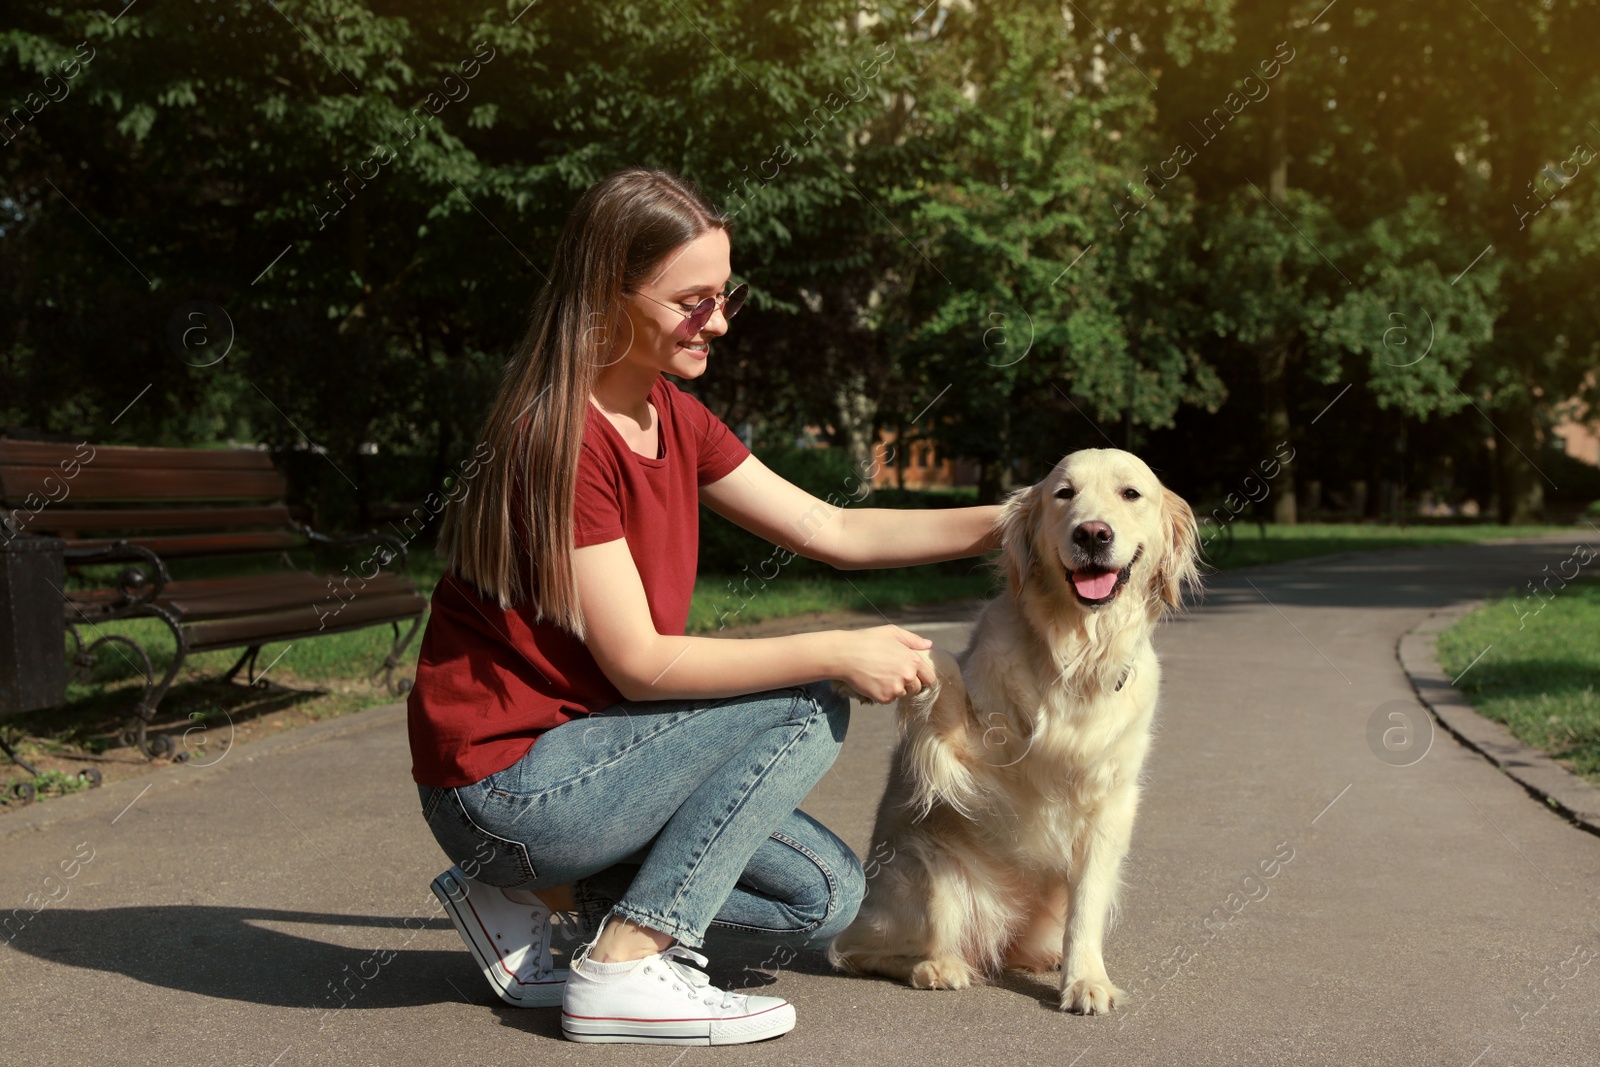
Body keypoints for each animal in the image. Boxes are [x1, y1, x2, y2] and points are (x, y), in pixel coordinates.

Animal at [832, 447, 1196, 1017]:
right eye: (1064, 493)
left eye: (1131, 493)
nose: (1093, 534)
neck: (1077, 654)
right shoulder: (971, 758)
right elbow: (942, 664)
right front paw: (885, 661)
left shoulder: (1112, 801)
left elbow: (1088, 903)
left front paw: (1086, 980)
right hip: (928, 875)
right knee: (855, 951)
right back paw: (939, 967)